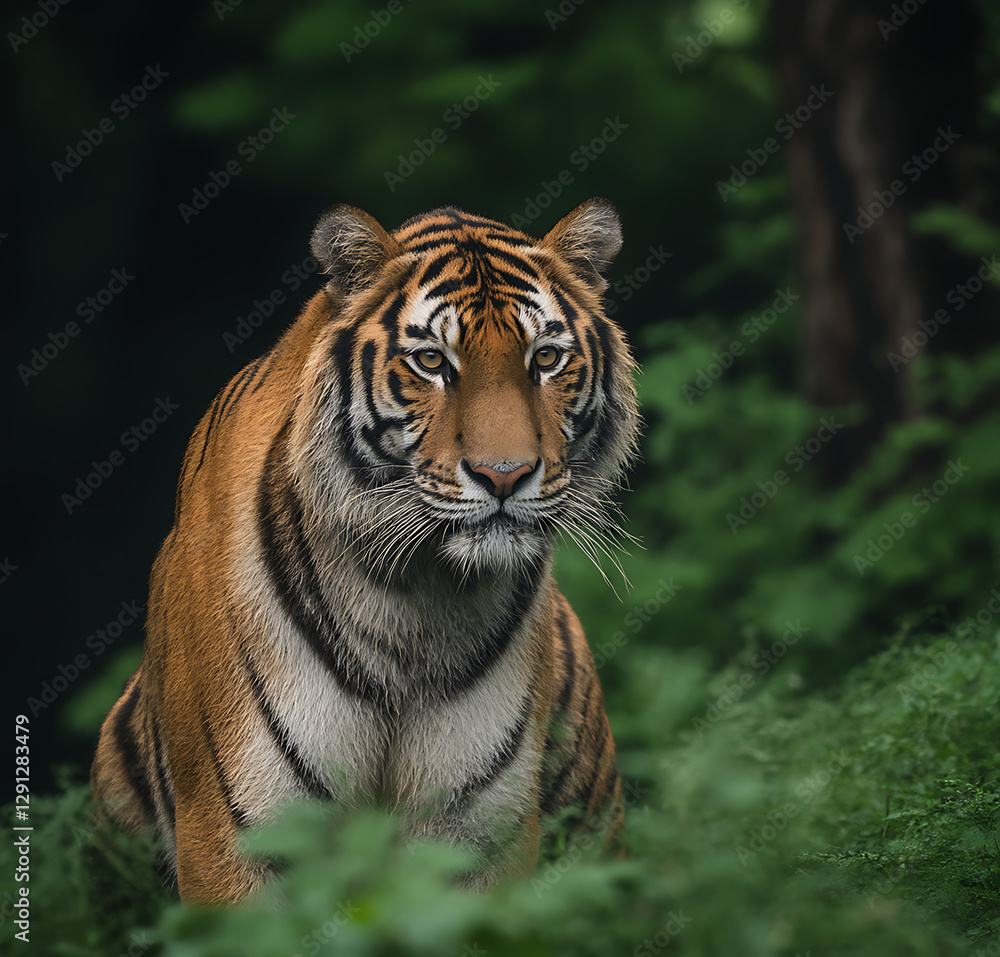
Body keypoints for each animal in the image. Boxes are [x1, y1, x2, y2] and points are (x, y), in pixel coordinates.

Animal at [91, 198, 641, 903]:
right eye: (432, 361)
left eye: (545, 357)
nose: (506, 475)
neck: (413, 598)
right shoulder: (234, 834)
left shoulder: (482, 836)